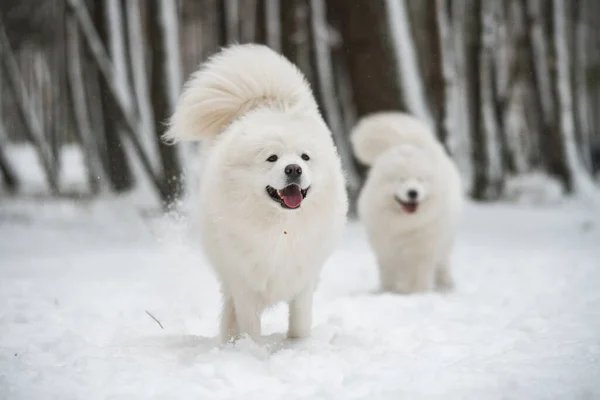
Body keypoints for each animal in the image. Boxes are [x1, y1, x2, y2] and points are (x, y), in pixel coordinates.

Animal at [166, 44, 350, 344]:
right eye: (272, 158)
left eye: (305, 157)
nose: (293, 169)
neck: (280, 229)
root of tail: (267, 102)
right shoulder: (244, 281)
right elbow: (249, 324)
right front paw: (250, 349)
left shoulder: (303, 278)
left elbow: (299, 320)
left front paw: (298, 345)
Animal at [352, 112, 464, 294]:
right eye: (401, 180)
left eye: (420, 180)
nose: (413, 192)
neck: (405, 225)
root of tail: (406, 141)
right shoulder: (387, 250)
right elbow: (389, 274)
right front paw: (389, 292)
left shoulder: (423, 250)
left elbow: (418, 276)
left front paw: (415, 293)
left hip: (445, 241)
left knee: (442, 264)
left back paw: (446, 286)